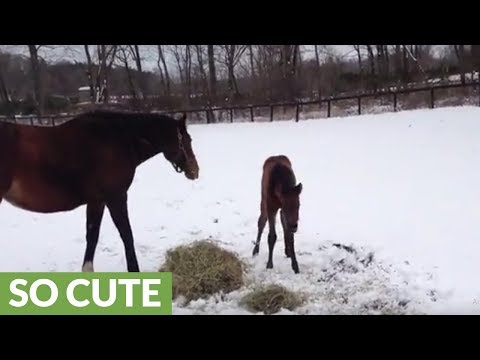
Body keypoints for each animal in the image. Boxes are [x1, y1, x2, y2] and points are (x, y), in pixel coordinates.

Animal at [0, 109, 199, 272]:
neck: (118, 138)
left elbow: (92, 235)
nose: (195, 171)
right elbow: (127, 235)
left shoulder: (97, 201)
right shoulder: (116, 198)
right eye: (187, 140)